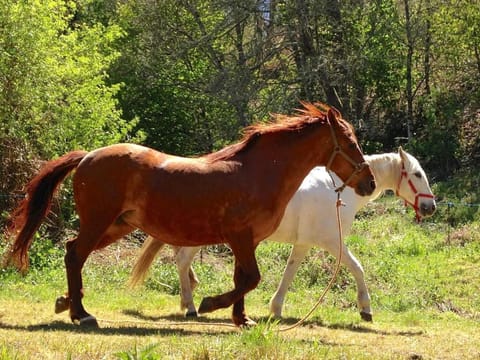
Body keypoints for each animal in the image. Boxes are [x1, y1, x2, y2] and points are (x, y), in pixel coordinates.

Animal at [5, 102, 376, 328]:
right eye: (350, 142)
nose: (369, 183)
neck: (258, 173)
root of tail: (87, 156)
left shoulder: (248, 241)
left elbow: (243, 279)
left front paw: (242, 320)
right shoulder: (240, 238)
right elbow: (250, 279)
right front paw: (211, 304)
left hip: (115, 226)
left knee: (72, 252)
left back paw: (66, 302)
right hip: (99, 223)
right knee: (75, 255)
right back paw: (81, 314)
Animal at [130, 148, 436, 322]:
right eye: (417, 174)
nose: (430, 206)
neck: (340, 192)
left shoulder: (303, 244)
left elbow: (289, 273)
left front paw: (275, 309)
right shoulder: (333, 243)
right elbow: (357, 268)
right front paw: (365, 309)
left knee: (182, 262)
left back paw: (187, 302)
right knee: (182, 261)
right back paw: (192, 307)